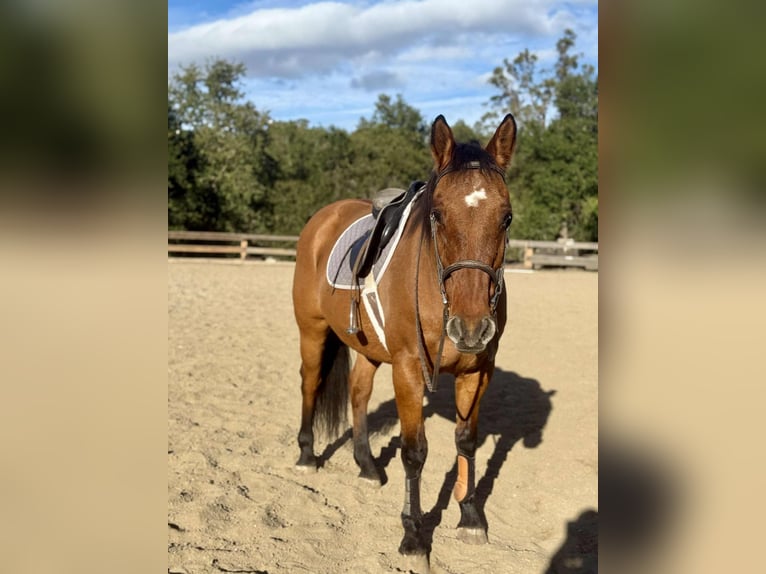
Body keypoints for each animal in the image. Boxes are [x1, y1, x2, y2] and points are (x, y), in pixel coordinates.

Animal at [291, 113, 517, 567]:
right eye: (439, 215)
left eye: (506, 218)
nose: (471, 327)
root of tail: (323, 217)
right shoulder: (409, 369)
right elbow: (415, 452)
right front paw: (413, 536)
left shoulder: (478, 370)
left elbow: (466, 441)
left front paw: (470, 518)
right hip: (312, 331)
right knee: (310, 383)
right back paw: (307, 455)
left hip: (368, 350)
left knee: (358, 393)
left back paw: (366, 465)